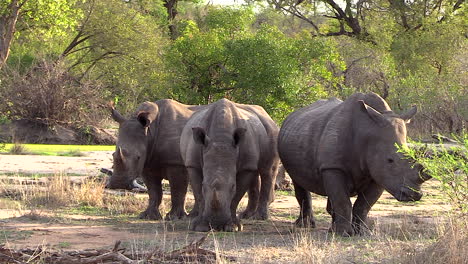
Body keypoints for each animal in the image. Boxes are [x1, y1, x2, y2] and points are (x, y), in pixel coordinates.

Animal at [181, 98, 280, 231]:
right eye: (203, 186)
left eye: (233, 186)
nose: (216, 225)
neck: (220, 138)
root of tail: (267, 115)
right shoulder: (193, 164)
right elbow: (199, 194)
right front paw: (200, 227)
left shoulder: (245, 168)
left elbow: (237, 196)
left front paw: (233, 227)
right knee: (256, 171)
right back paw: (246, 215)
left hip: (272, 131)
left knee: (268, 171)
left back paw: (259, 217)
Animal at [278, 92, 432, 235]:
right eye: (390, 160)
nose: (414, 195)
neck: (367, 132)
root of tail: (292, 115)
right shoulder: (333, 167)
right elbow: (342, 201)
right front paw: (344, 234)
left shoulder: (378, 173)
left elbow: (363, 205)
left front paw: (361, 232)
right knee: (299, 182)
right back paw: (305, 226)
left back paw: (331, 229)